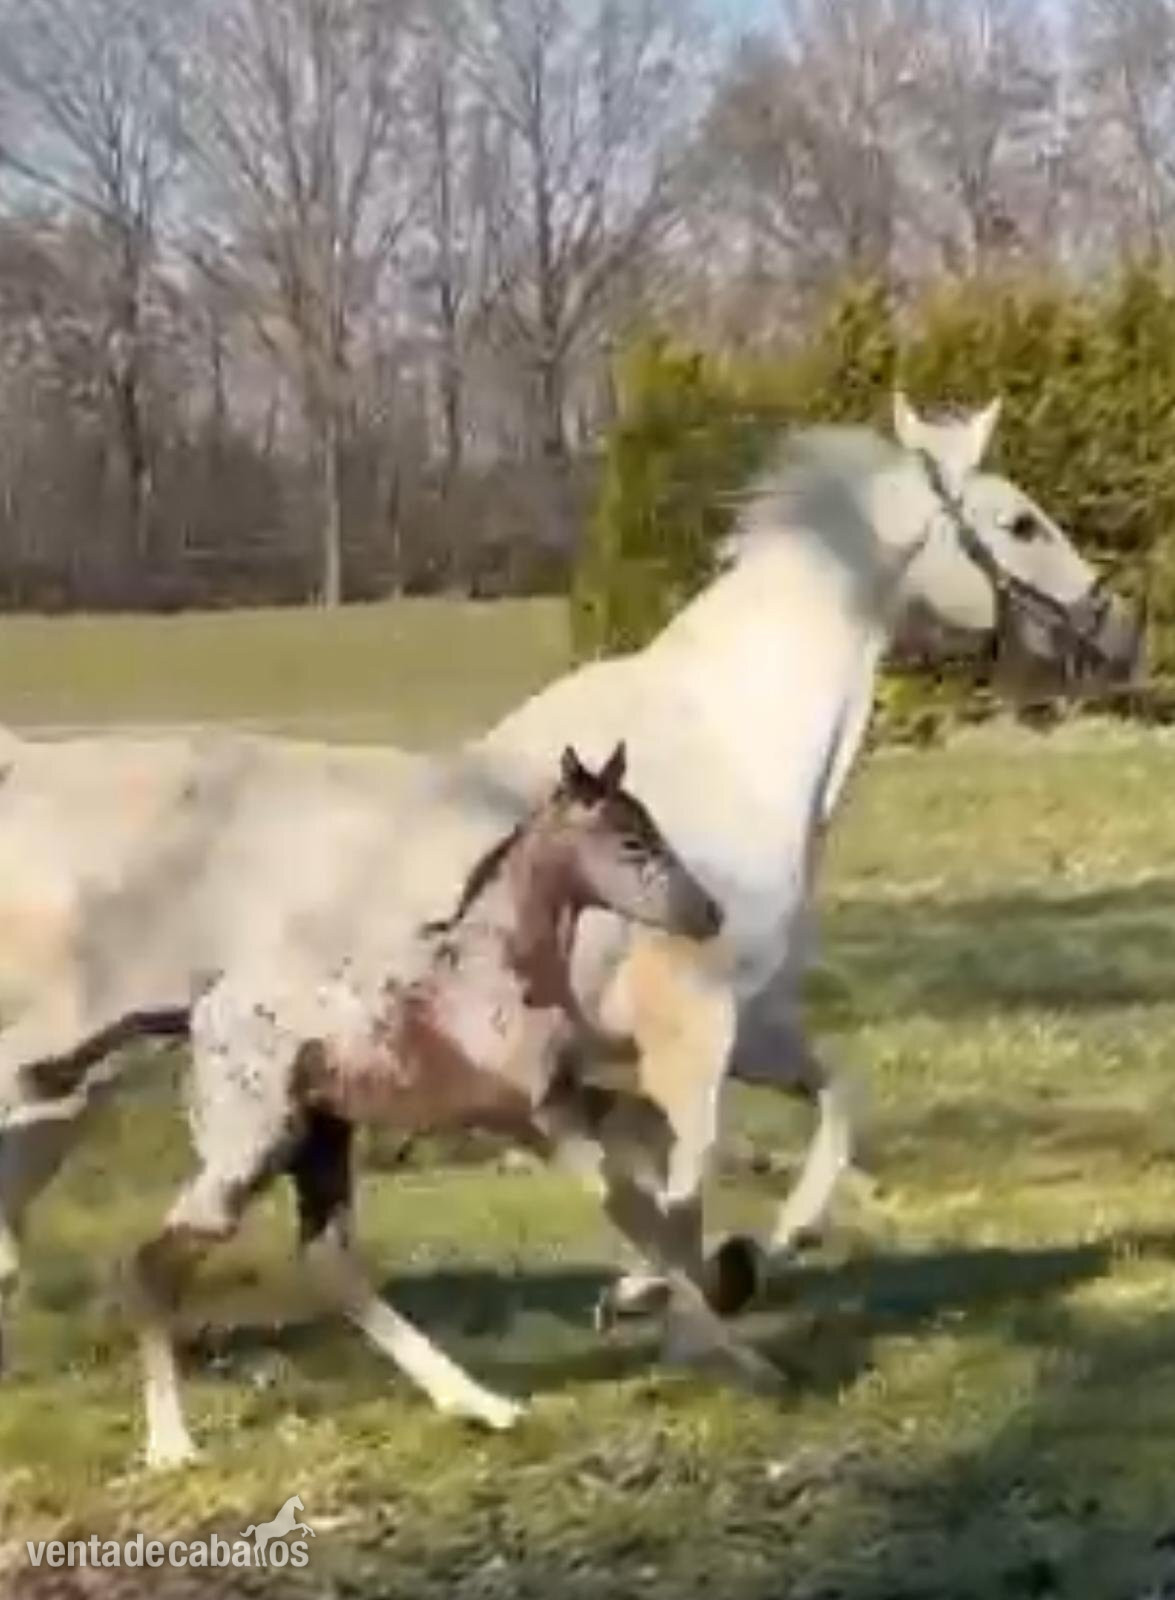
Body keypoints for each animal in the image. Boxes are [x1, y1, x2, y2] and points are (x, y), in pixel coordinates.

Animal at [0, 394, 1141, 1372]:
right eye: (1018, 521)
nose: (1116, 628)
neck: (726, 754)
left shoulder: (733, 1029)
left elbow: (822, 1107)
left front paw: (760, 1248)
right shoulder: (688, 1026)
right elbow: (683, 1168)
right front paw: (670, 1296)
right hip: (62, 1068)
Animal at [128, 744, 736, 1467]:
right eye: (631, 842)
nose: (709, 914)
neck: (502, 967)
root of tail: (194, 1014)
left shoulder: (571, 1097)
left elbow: (656, 1147)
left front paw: (666, 1290)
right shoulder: (538, 1120)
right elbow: (629, 1203)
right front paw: (718, 1333)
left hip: (321, 1140)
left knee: (328, 1262)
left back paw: (482, 1405)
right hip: (251, 1149)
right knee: (154, 1263)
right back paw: (171, 1447)